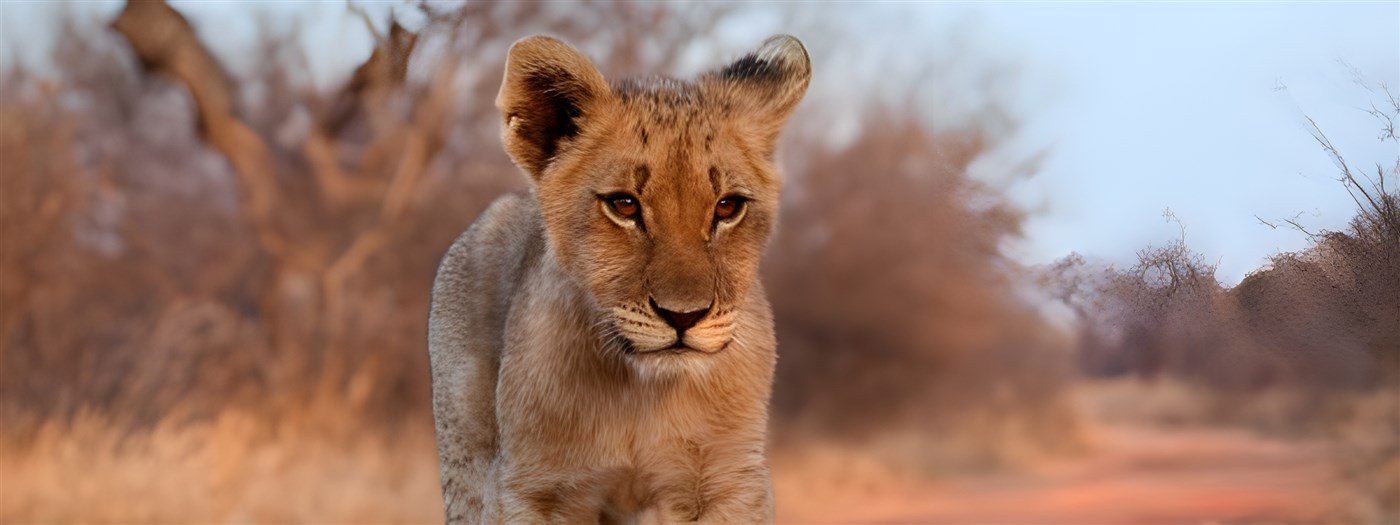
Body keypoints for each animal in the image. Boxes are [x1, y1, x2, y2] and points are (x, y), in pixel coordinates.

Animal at [428, 34, 810, 523]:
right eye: (624, 205)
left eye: (727, 207)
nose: (683, 317)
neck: (639, 399)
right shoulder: (528, 487)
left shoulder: (733, 482)